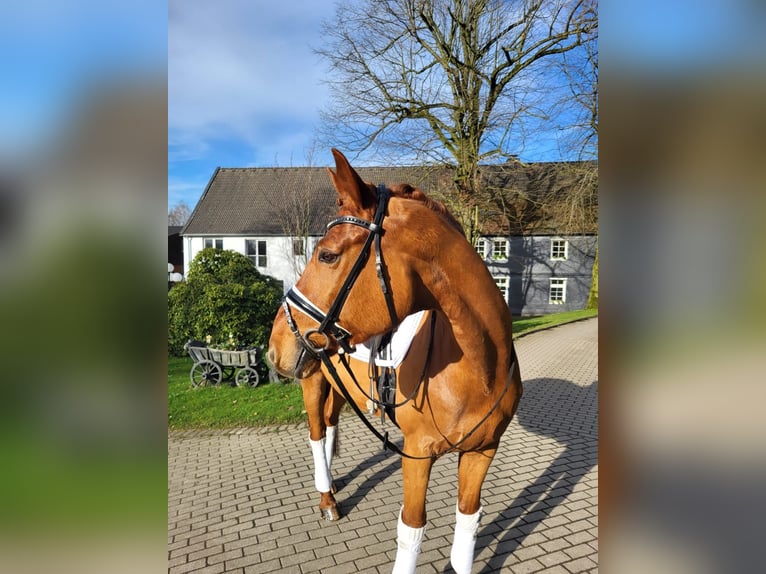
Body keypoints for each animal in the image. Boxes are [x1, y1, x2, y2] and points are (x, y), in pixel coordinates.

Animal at [268, 150, 524, 574]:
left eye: (327, 255)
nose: (276, 345)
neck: (479, 369)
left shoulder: (483, 452)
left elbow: (468, 525)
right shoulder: (417, 454)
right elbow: (412, 529)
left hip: (338, 386)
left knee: (331, 426)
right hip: (313, 382)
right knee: (317, 435)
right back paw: (327, 499)